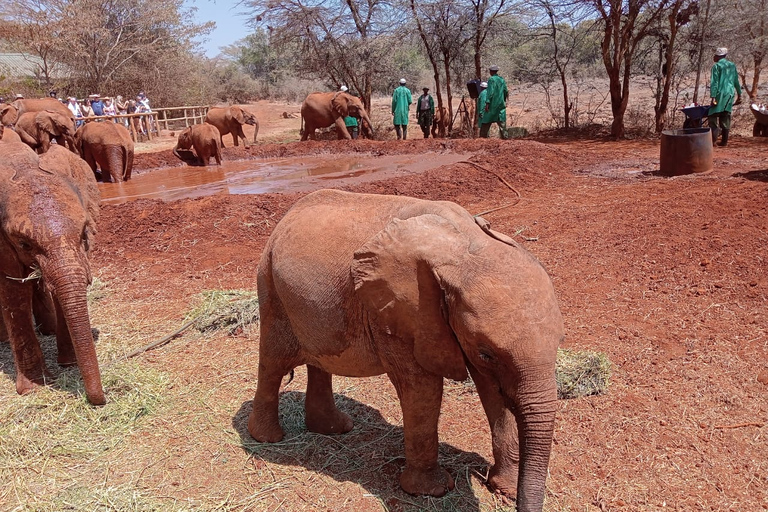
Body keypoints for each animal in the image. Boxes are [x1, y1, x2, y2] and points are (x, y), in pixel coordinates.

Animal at [0, 142, 106, 406]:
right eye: (24, 244)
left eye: (84, 234)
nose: (100, 400)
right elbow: (14, 295)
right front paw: (33, 388)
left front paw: (69, 364)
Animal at [248, 190, 564, 510]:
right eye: (487, 353)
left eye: (560, 342)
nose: (515, 501)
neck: (465, 246)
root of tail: (286, 215)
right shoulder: (398, 313)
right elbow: (422, 388)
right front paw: (432, 491)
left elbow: (492, 392)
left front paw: (503, 488)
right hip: (270, 285)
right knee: (273, 361)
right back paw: (268, 438)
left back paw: (334, 429)